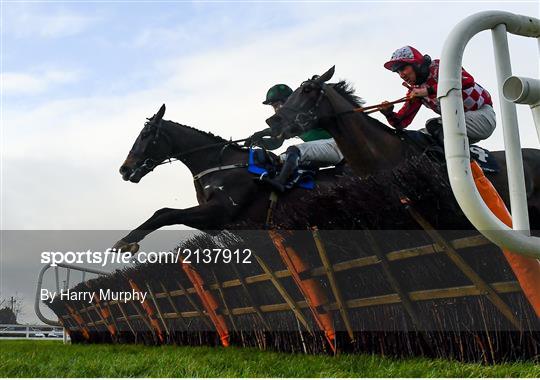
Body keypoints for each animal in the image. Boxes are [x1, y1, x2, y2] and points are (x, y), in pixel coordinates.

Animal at [114, 104, 352, 252]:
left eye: (145, 135)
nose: (124, 169)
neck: (218, 164)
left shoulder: (221, 211)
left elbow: (166, 214)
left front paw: (125, 242)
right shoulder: (215, 224)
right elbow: (166, 213)